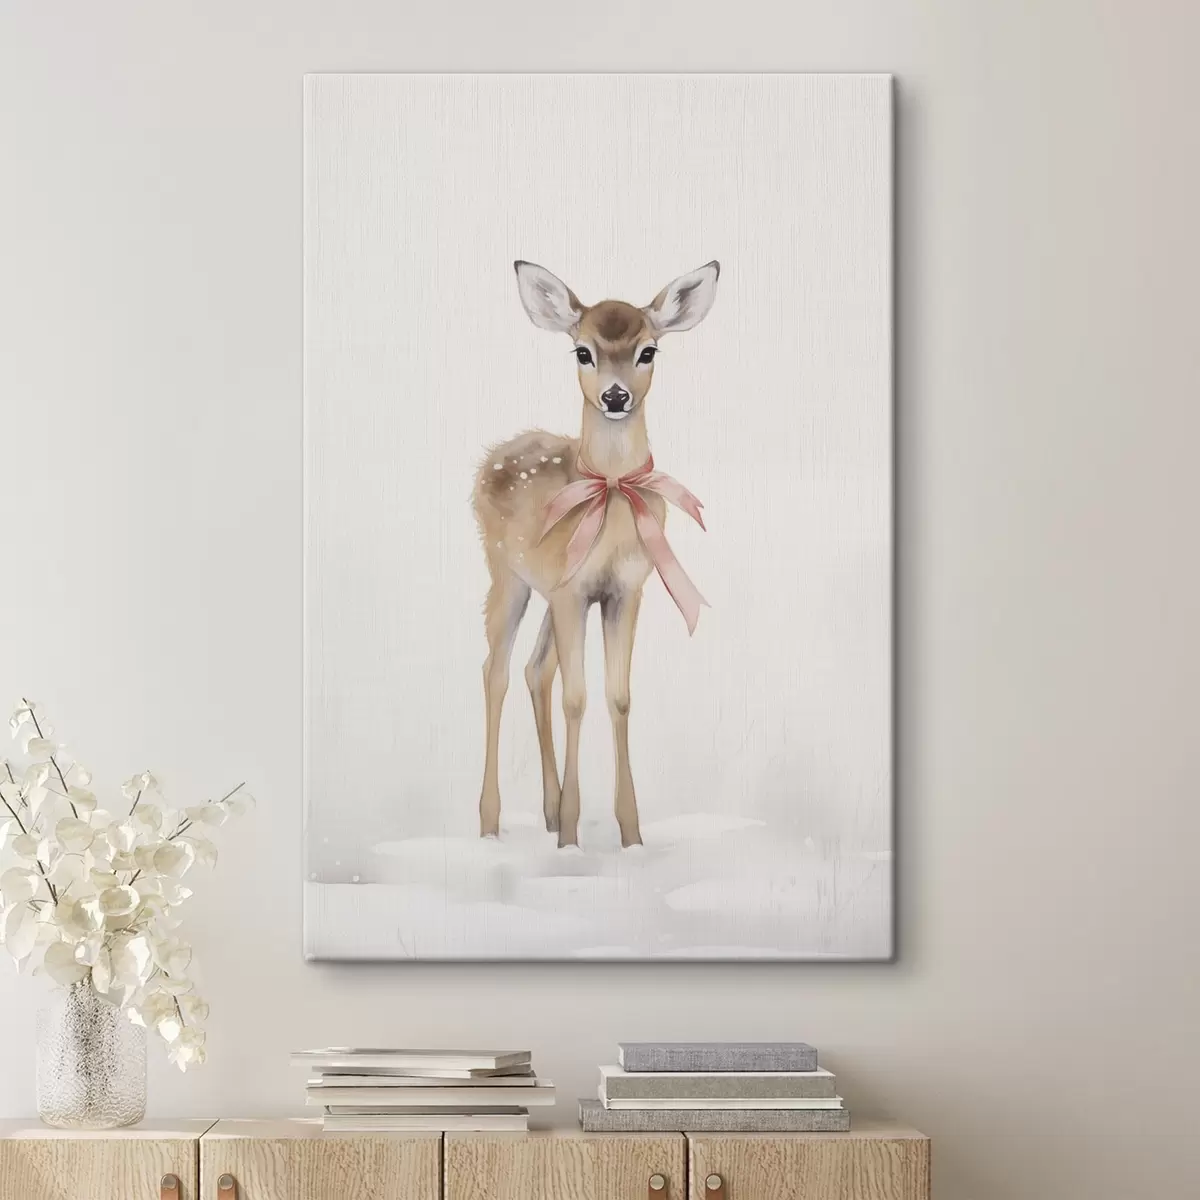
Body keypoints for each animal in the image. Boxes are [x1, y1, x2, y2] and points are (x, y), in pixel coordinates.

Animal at [472, 260, 720, 850]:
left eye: (648, 351)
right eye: (582, 351)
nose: (614, 397)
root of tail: (489, 459)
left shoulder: (622, 590)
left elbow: (618, 696)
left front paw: (629, 834)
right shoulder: (573, 592)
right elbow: (577, 698)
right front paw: (570, 837)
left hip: (548, 590)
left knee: (535, 669)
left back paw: (545, 812)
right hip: (506, 574)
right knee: (497, 670)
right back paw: (490, 823)